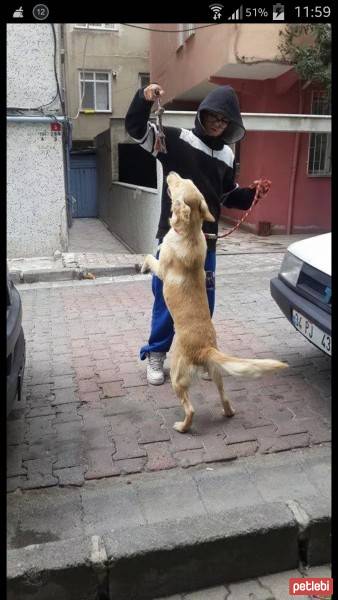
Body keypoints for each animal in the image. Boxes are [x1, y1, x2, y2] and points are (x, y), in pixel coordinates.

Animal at [141, 171, 288, 434]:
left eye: (179, 183)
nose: (170, 173)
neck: (188, 232)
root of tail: (205, 349)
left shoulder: (162, 269)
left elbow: (149, 257)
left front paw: (141, 264)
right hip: (217, 374)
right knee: (225, 397)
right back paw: (227, 412)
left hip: (178, 378)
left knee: (191, 409)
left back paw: (182, 427)